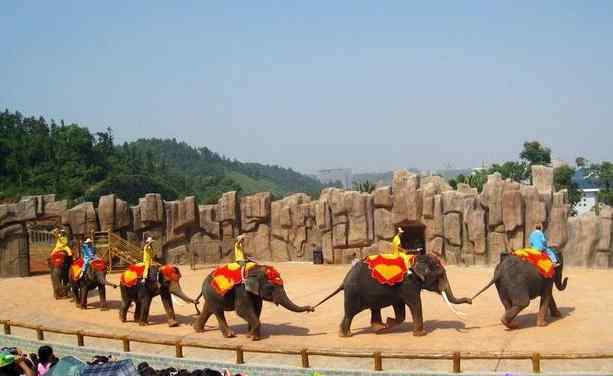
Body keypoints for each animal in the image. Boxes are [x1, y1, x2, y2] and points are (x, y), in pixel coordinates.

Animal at [314, 251, 470, 336]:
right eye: (440, 275)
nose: (470, 300)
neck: (416, 258)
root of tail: (343, 281)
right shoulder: (408, 284)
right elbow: (414, 304)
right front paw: (421, 334)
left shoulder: (401, 288)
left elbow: (400, 308)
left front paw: (389, 322)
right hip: (353, 294)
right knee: (350, 314)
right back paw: (347, 335)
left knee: (371, 309)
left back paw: (378, 328)